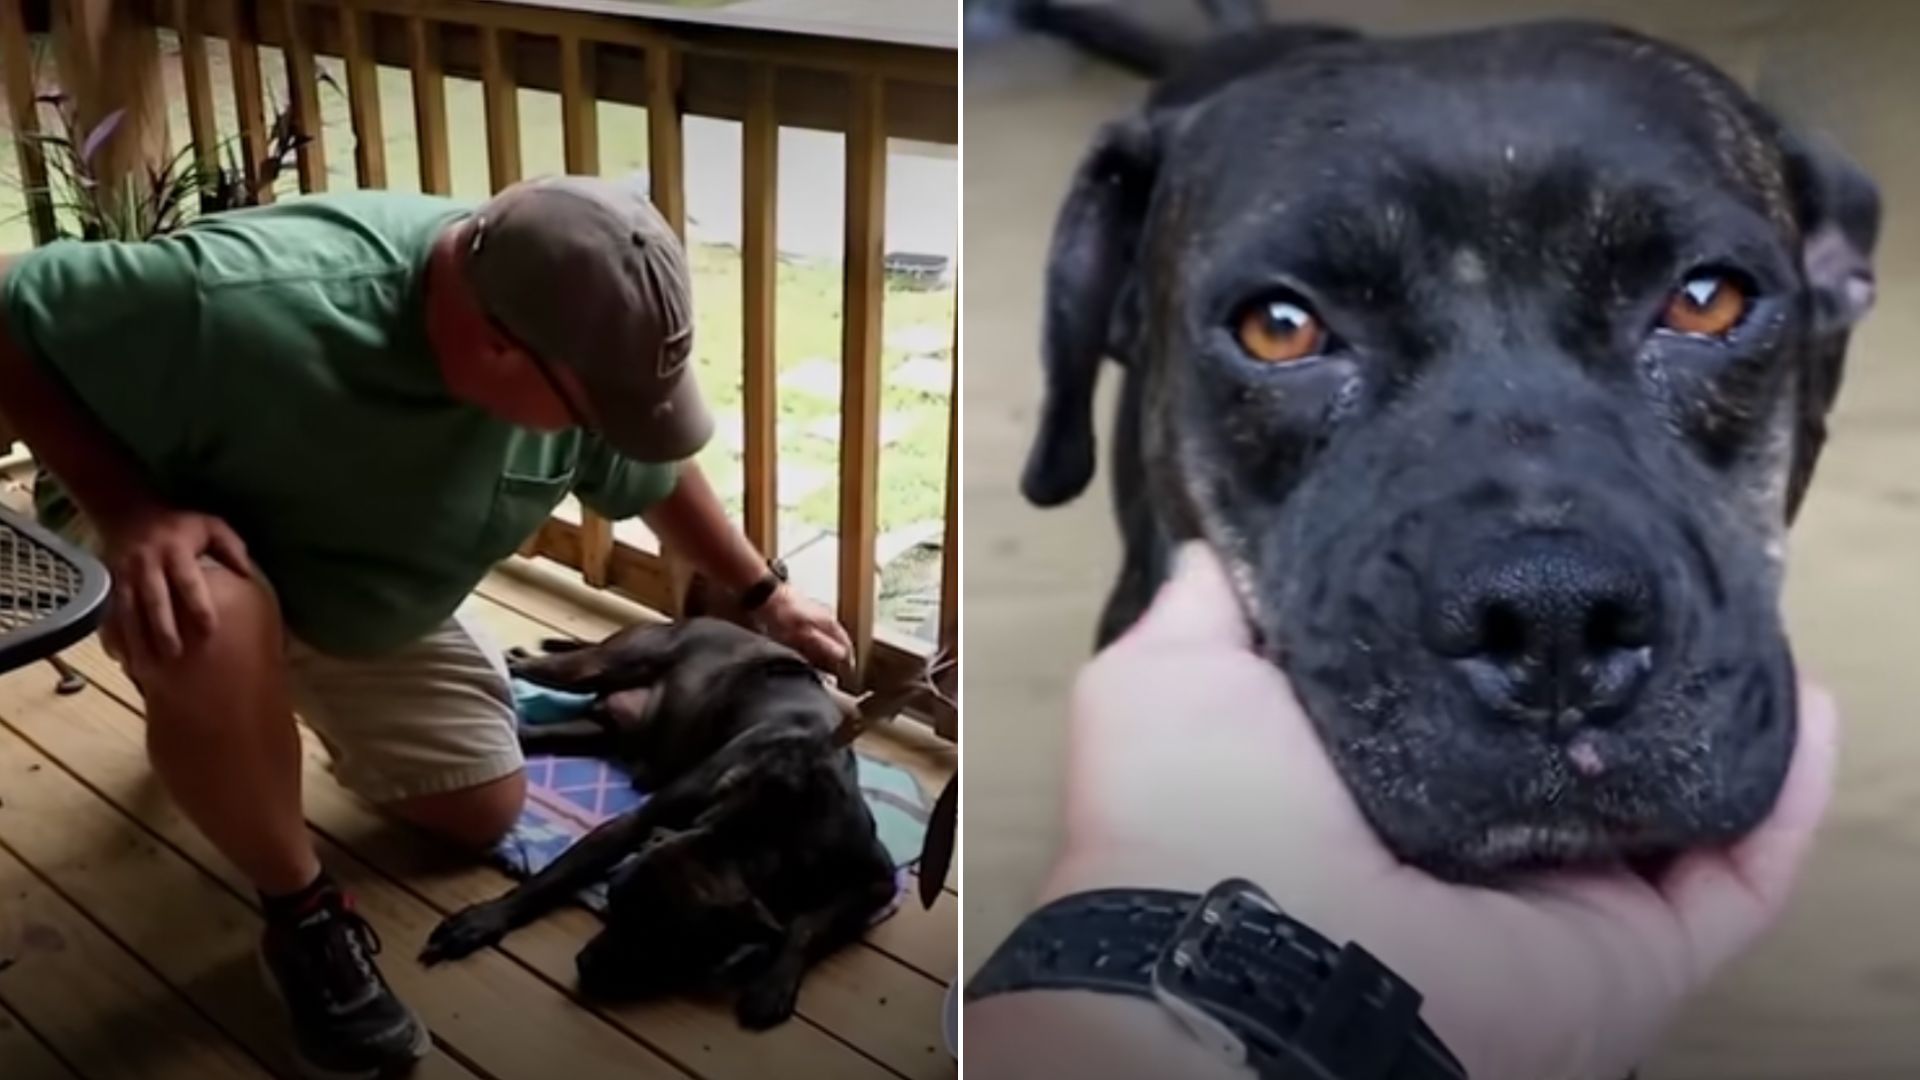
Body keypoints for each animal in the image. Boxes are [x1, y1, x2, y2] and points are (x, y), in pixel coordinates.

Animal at [418, 614, 936, 1022]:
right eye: (613, 904)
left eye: (667, 939)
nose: (586, 964)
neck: (758, 827)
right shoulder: (634, 824)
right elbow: (553, 877)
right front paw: (485, 919)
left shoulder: (874, 879)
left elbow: (808, 924)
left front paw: (775, 983)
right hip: (593, 668)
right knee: (524, 666)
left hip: (595, 727)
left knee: (534, 729)